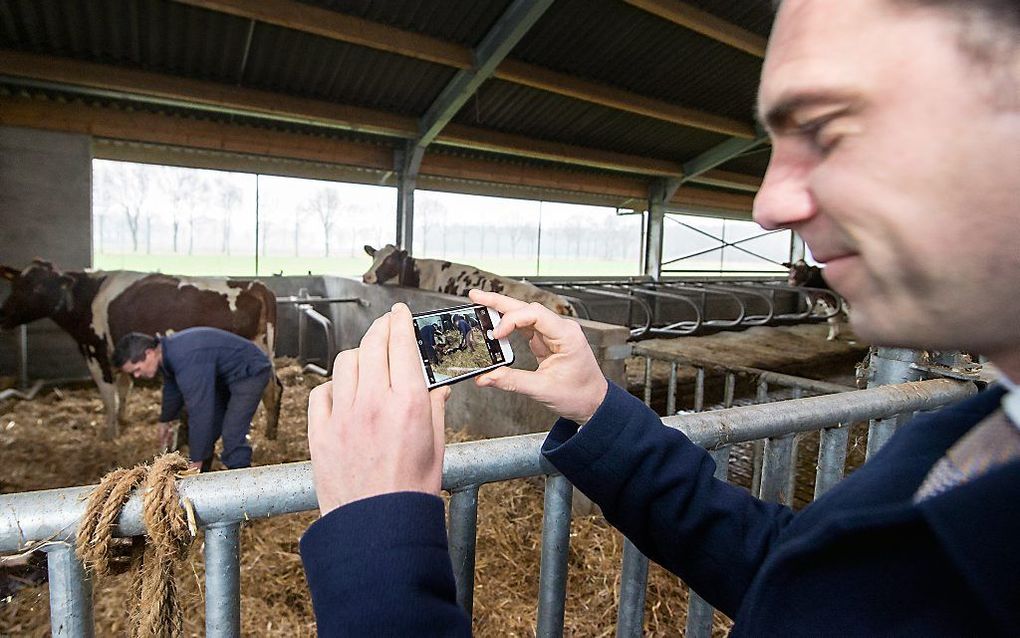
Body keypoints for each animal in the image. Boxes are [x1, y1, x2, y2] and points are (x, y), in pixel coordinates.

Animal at [0, 259, 283, 436]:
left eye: (37, 286)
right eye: (17, 284)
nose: (3, 316)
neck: (88, 295)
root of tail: (256, 285)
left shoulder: (95, 351)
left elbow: (109, 394)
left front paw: (110, 433)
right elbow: (124, 388)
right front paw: (123, 420)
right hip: (262, 350)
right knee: (273, 388)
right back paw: (270, 432)